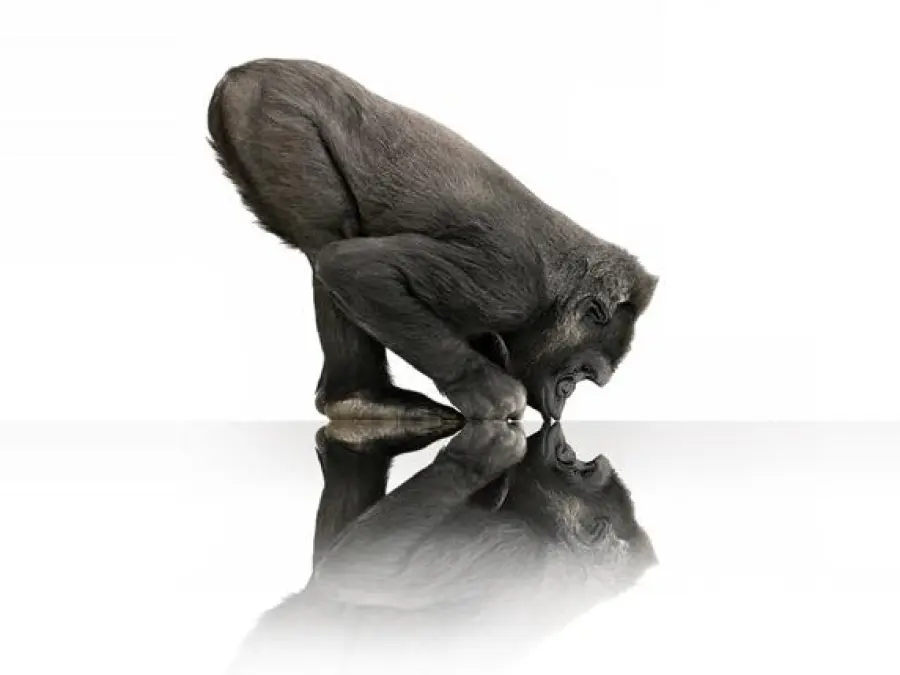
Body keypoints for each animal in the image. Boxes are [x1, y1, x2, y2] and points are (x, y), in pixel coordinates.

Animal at [207, 59, 658, 421]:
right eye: (581, 373)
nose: (563, 401)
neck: (555, 297)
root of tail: (239, 74)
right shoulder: (510, 285)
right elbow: (356, 269)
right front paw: (486, 391)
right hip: (275, 114)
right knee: (327, 243)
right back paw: (361, 398)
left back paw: (358, 398)